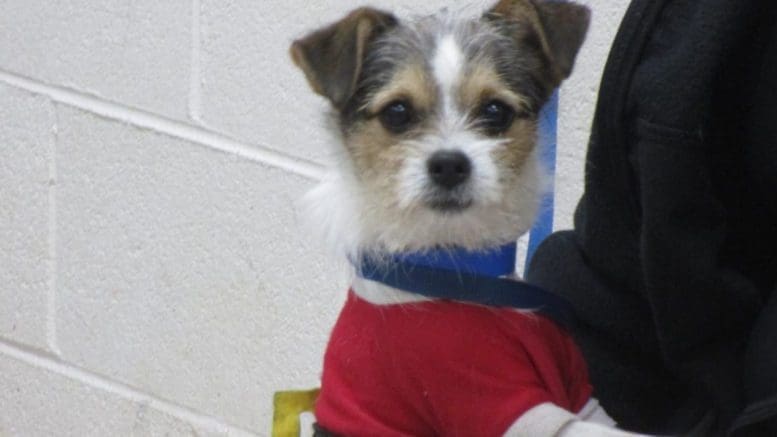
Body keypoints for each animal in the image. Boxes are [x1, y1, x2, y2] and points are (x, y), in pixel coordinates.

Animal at [288, 1, 644, 434]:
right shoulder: (493, 399)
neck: (457, 268)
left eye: (495, 111)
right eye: (397, 112)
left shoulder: (581, 397)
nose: (449, 165)